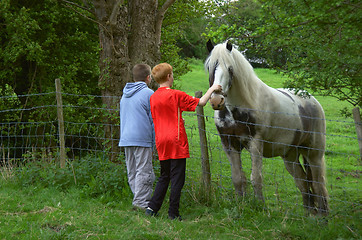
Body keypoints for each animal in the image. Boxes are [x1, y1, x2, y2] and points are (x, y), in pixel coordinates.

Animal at [205, 39, 330, 216]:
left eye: (230, 68)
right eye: (209, 67)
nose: (217, 100)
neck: (238, 108)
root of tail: (312, 101)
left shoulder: (255, 143)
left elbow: (256, 178)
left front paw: (260, 207)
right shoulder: (229, 143)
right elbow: (238, 178)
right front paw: (240, 204)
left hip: (314, 154)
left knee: (319, 184)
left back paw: (322, 216)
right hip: (290, 156)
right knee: (303, 182)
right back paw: (309, 215)